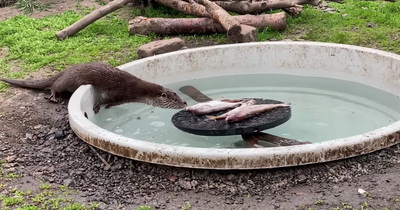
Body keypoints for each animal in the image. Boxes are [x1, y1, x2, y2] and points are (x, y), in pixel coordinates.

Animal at [0, 62, 188, 113]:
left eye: (179, 96)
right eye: (175, 99)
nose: (185, 103)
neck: (137, 90)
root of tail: (68, 69)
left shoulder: (121, 98)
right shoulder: (119, 92)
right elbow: (102, 99)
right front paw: (97, 108)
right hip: (69, 80)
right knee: (55, 85)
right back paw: (54, 97)